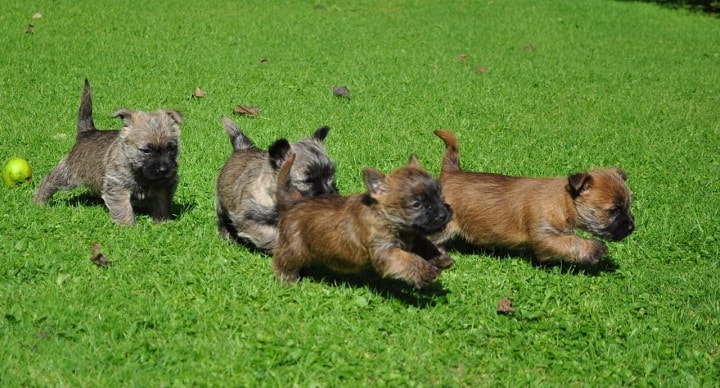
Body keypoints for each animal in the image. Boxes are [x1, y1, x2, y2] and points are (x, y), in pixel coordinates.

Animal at [33, 79, 183, 224]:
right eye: (146, 150)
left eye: (171, 148)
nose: (163, 169)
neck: (140, 172)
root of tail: (86, 132)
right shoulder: (117, 187)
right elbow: (123, 208)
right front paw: (128, 227)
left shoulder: (165, 186)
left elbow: (162, 203)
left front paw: (163, 222)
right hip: (68, 173)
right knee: (49, 180)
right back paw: (38, 200)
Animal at [215, 116, 338, 253]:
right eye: (307, 181)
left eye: (331, 176)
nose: (331, 194)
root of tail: (242, 148)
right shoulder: (248, 217)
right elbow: (269, 234)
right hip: (221, 205)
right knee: (222, 220)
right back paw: (227, 236)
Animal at [272, 152, 452, 288]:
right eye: (416, 204)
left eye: (439, 195)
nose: (443, 214)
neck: (383, 216)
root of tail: (294, 201)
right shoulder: (386, 251)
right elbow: (407, 260)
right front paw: (426, 271)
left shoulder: (414, 236)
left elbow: (425, 245)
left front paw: (441, 258)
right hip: (294, 248)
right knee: (283, 263)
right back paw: (288, 281)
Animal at [430, 129, 632, 266]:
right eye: (613, 210)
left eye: (629, 206)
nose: (631, 227)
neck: (562, 201)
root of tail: (450, 174)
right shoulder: (545, 238)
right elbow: (572, 242)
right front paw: (596, 249)